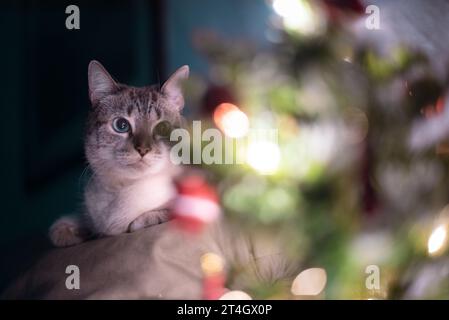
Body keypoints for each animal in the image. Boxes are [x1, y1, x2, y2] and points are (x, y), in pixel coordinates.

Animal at [48, 60, 188, 248]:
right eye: (121, 125)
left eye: (163, 127)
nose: (143, 149)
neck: (125, 189)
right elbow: (67, 225)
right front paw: (70, 232)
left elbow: (151, 217)